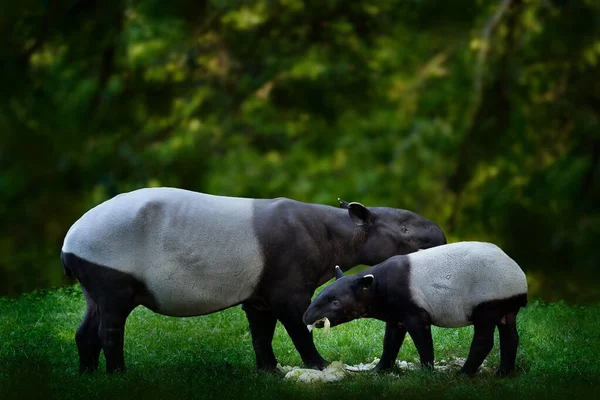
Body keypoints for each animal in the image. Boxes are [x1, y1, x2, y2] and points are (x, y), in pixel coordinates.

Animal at [62, 187, 524, 376]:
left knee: (86, 327)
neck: (331, 231)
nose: (443, 239)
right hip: (112, 269)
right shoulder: (287, 278)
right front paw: (317, 365)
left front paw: (268, 369)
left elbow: (261, 331)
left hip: (92, 277)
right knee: (111, 325)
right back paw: (119, 372)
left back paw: (87, 374)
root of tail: (71, 241)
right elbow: (295, 324)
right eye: (407, 230)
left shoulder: (259, 291)